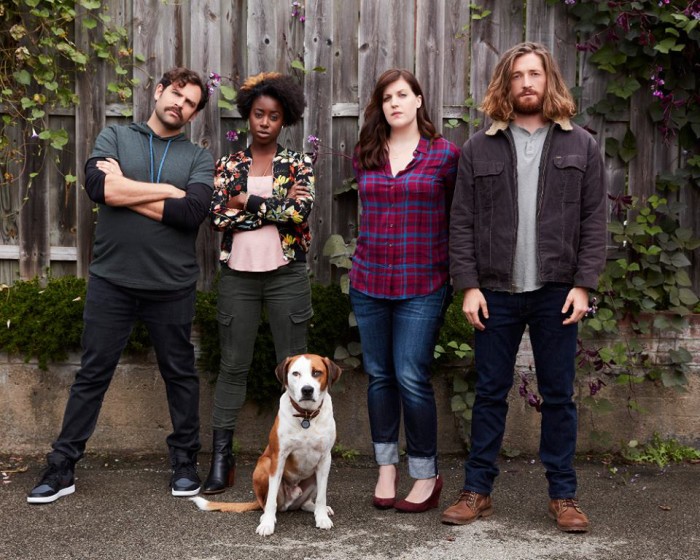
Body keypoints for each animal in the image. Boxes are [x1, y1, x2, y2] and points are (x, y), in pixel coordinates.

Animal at [191, 356, 344, 536]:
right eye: (296, 373)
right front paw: (268, 524)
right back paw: (266, 516)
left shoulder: (325, 459)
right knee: (267, 503)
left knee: (305, 503)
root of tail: (290, 501)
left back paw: (317, 508)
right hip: (264, 465)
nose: (307, 390)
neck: (306, 416)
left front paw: (321, 517)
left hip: (313, 476)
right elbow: (271, 499)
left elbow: (321, 495)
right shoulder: (278, 457)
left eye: (317, 372)